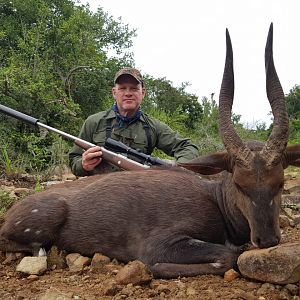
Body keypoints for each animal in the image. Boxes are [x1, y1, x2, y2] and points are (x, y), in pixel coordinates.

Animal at [0, 23, 300, 278]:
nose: (267, 240)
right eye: (239, 183)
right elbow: (226, 257)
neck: (215, 199)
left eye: (280, 182)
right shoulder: (160, 244)